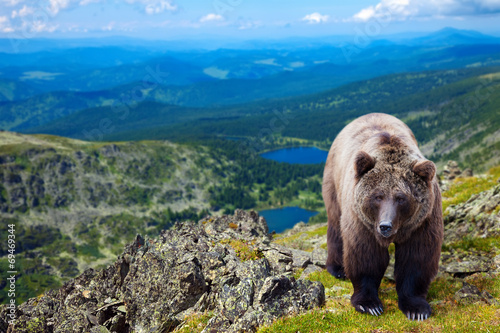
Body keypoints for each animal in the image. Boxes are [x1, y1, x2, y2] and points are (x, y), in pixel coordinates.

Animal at [322, 112, 444, 320]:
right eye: (377, 196)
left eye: (401, 198)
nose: (385, 226)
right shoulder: (363, 221)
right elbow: (366, 255)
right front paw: (369, 304)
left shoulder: (422, 222)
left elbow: (416, 258)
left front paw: (416, 308)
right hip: (334, 182)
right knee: (336, 224)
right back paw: (337, 268)